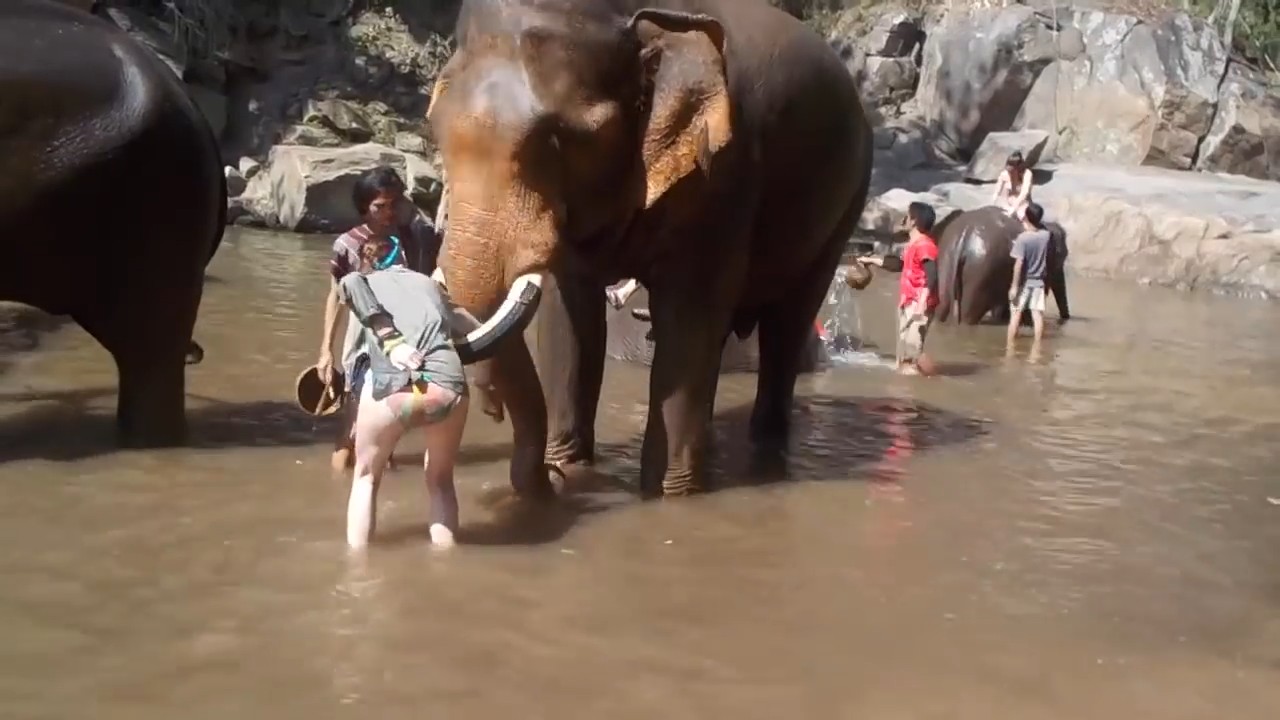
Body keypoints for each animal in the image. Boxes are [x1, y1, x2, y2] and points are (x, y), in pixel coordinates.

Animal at [426, 0, 873, 497]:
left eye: (562, 139)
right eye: (434, 127)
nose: (491, 408)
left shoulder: (725, 173)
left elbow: (686, 319)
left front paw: (666, 495)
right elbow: (570, 315)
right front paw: (573, 469)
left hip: (848, 200)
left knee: (787, 325)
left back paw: (766, 450)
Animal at [934, 206, 1070, 325]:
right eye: (1062, 254)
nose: (1064, 319)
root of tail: (964, 235)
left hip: (947, 258)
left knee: (944, 305)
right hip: (982, 271)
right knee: (969, 314)